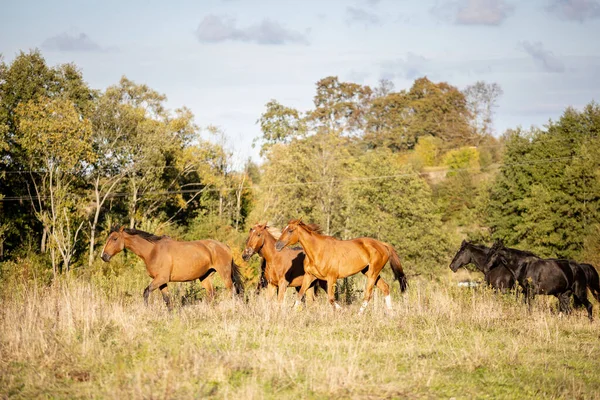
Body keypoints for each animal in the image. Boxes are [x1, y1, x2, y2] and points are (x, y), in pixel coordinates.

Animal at [101, 225, 244, 310]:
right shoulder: (162, 282)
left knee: (232, 291)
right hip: (205, 276)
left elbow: (146, 292)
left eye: (114, 238)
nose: (104, 256)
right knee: (212, 293)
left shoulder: (160, 279)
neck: (153, 251)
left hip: (225, 274)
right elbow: (167, 300)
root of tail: (225, 246)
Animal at [274, 219, 408, 312]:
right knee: (385, 287)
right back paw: (391, 313)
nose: (277, 245)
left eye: (290, 230)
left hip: (373, 273)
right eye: (284, 229)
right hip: (369, 272)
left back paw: (359, 315)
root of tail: (383, 245)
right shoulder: (309, 276)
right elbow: (300, 295)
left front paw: (340, 312)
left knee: (368, 295)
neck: (318, 251)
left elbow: (331, 299)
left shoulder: (331, 278)